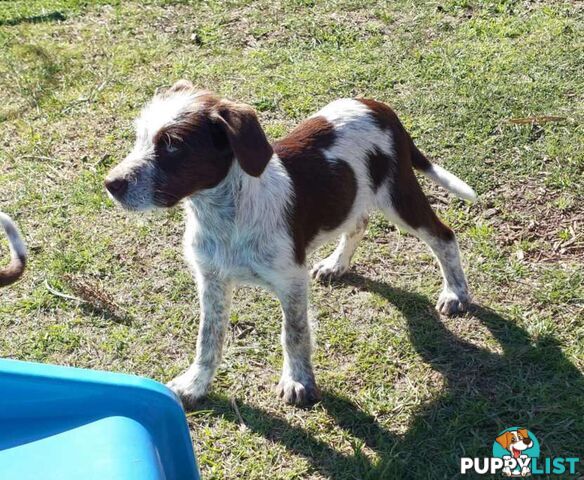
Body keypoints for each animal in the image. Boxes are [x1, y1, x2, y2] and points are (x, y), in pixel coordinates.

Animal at [106, 79, 480, 408]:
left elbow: (294, 333)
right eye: (140, 138)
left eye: (173, 145)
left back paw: (455, 293)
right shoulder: (212, 280)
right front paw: (196, 383)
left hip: (399, 195)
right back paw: (336, 264)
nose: (111, 183)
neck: (225, 216)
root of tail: (379, 107)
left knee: (443, 236)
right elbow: (208, 339)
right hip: (358, 194)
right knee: (359, 222)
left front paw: (298, 381)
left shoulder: (291, 280)